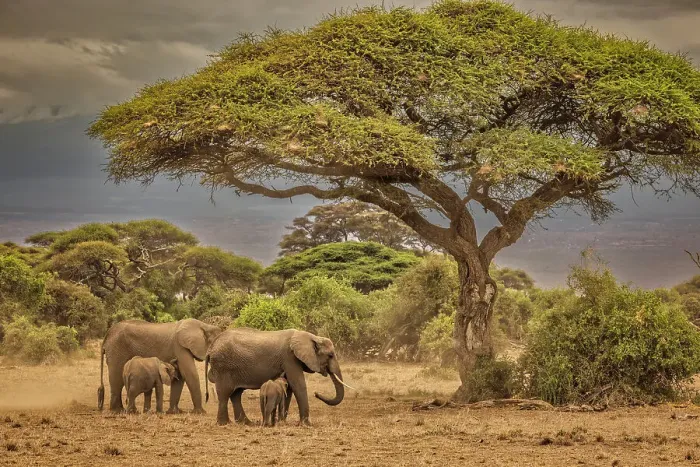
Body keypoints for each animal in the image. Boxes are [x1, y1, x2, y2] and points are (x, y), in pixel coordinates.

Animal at [205, 328, 352, 426]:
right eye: (330, 355)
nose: (316, 393)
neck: (312, 337)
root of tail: (210, 348)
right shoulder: (290, 358)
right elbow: (298, 385)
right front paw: (306, 425)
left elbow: (290, 388)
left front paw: (283, 422)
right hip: (224, 367)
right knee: (225, 394)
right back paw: (224, 424)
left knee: (236, 394)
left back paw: (245, 423)